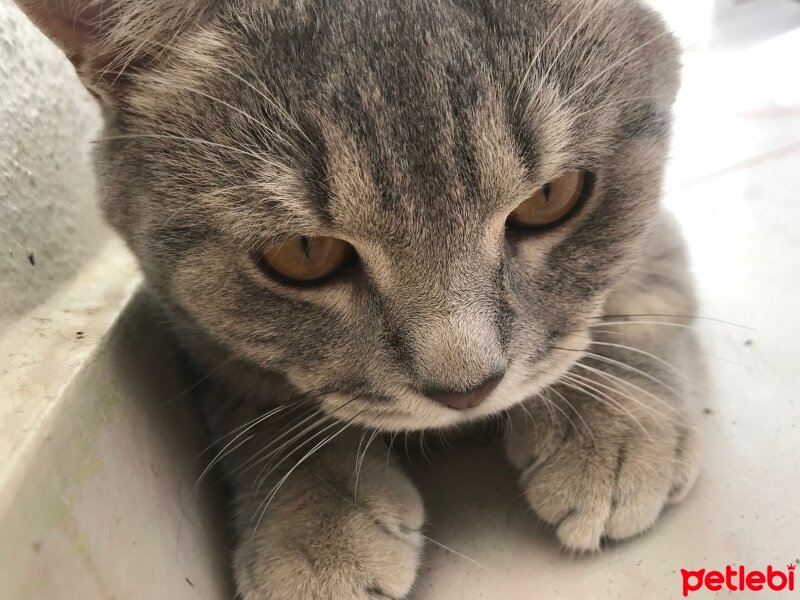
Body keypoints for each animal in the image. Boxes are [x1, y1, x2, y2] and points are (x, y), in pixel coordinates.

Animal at [15, 0, 708, 596]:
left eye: (551, 197)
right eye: (303, 252)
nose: (468, 390)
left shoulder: (652, 238)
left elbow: (638, 297)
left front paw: (614, 422)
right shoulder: (197, 334)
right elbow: (261, 404)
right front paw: (314, 528)